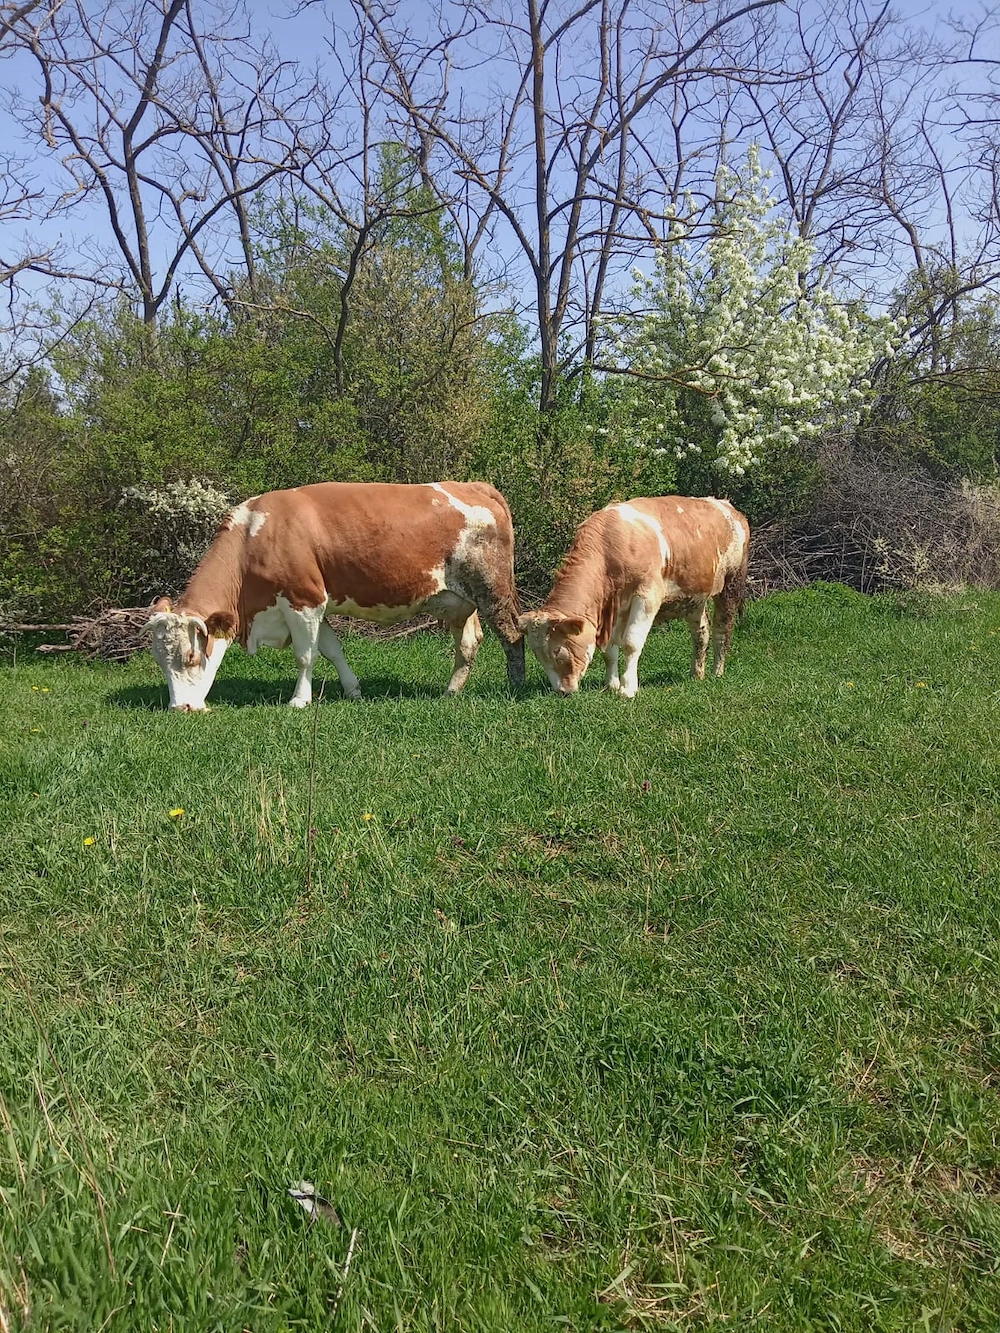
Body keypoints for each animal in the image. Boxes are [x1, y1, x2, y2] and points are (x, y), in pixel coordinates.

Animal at [144, 481, 525, 710]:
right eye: (159, 661)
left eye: (191, 657)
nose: (180, 708)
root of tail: (471, 485)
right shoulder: (315, 605)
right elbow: (332, 650)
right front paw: (353, 689)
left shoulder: (304, 600)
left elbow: (305, 656)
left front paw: (299, 700)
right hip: (458, 601)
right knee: (469, 643)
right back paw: (450, 692)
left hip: (492, 590)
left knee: (512, 636)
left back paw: (515, 688)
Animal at [519, 495, 750, 698]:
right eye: (538, 655)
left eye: (558, 650)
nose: (562, 691)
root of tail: (727, 507)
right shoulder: (613, 609)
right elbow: (609, 651)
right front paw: (611, 685)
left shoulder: (647, 595)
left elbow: (631, 643)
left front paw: (628, 689)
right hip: (695, 596)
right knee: (701, 632)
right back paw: (696, 673)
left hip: (731, 583)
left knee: (722, 628)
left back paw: (717, 672)